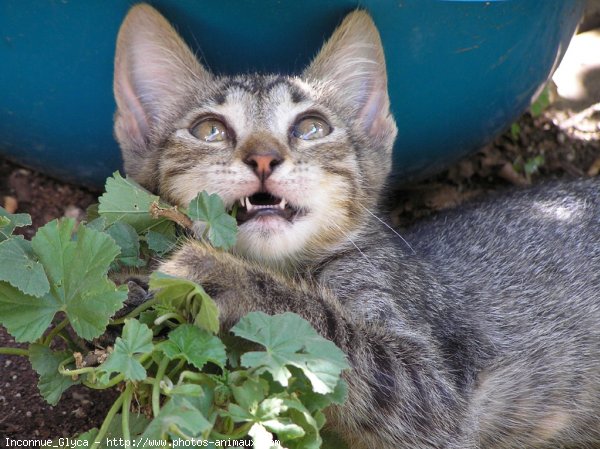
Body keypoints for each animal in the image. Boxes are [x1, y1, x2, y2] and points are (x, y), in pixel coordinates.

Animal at [113, 4, 600, 448]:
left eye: (311, 128)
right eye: (209, 130)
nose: (264, 157)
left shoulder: (436, 391)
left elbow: (326, 329)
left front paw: (216, 272)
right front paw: (131, 284)